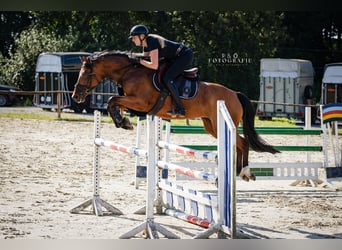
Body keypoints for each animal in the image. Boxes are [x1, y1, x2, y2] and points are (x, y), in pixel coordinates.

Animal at [73, 49, 280, 181]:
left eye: (85, 74)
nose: (76, 96)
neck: (130, 71)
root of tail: (234, 94)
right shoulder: (136, 104)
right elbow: (114, 102)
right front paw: (123, 120)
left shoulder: (140, 102)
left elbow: (112, 100)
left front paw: (123, 122)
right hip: (211, 126)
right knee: (238, 143)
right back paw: (238, 171)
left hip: (221, 122)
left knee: (243, 142)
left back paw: (245, 172)